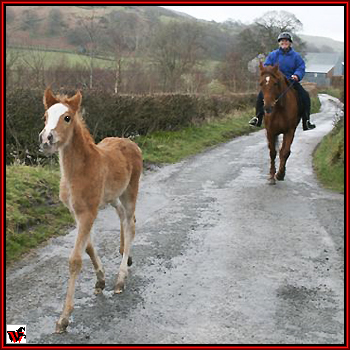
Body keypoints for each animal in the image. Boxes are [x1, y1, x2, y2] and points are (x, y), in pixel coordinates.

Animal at [38, 88, 142, 334]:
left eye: (67, 117)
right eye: (45, 117)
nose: (46, 140)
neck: (79, 170)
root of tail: (131, 143)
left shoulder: (89, 213)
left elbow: (75, 259)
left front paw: (64, 319)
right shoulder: (76, 212)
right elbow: (88, 247)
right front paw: (100, 280)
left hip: (130, 190)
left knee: (131, 224)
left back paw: (120, 280)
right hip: (113, 197)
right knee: (124, 217)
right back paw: (125, 255)